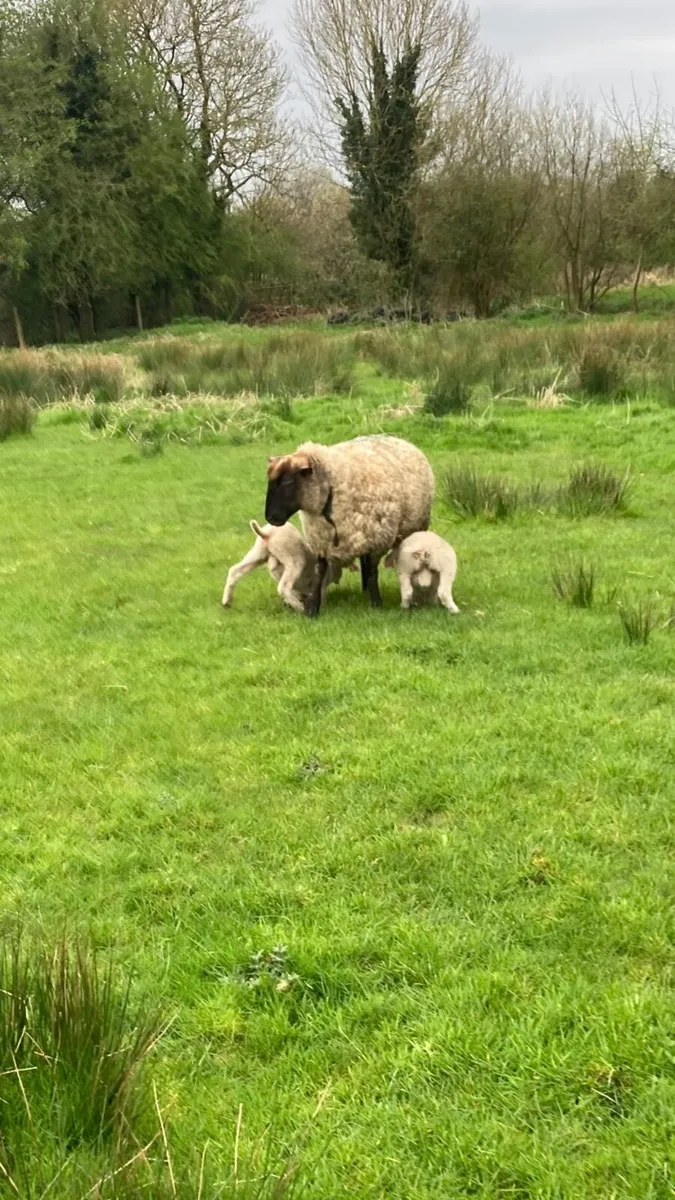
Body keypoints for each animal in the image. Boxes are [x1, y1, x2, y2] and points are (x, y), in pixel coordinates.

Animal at [264, 434, 434, 616]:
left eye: (288, 482)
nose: (271, 518)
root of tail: (398, 438)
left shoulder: (377, 539)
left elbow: (373, 572)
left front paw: (376, 603)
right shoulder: (321, 540)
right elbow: (319, 571)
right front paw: (312, 609)